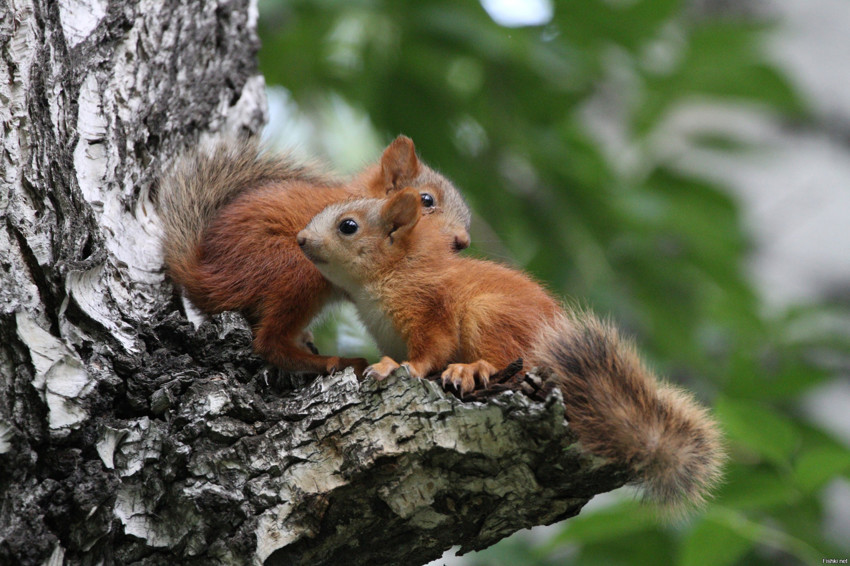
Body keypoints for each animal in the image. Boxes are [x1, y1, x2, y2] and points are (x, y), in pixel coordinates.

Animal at [159, 136, 470, 378]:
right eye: (427, 200)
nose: (462, 243)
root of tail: (206, 276)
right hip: (298, 270)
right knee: (270, 343)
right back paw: (334, 361)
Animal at [296, 189, 724, 512]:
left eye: (348, 226)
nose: (300, 239)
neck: (394, 271)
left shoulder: (430, 309)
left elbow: (430, 351)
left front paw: (397, 367)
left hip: (488, 316)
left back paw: (471, 369)